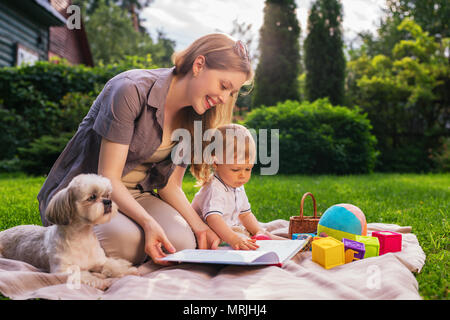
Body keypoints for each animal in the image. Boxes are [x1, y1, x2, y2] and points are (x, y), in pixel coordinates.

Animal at [0, 174, 139, 292]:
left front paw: (129, 270)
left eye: (107, 195)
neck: (83, 236)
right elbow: (83, 274)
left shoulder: (100, 260)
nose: (108, 202)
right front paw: (101, 281)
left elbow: (113, 265)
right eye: (92, 197)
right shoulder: (63, 270)